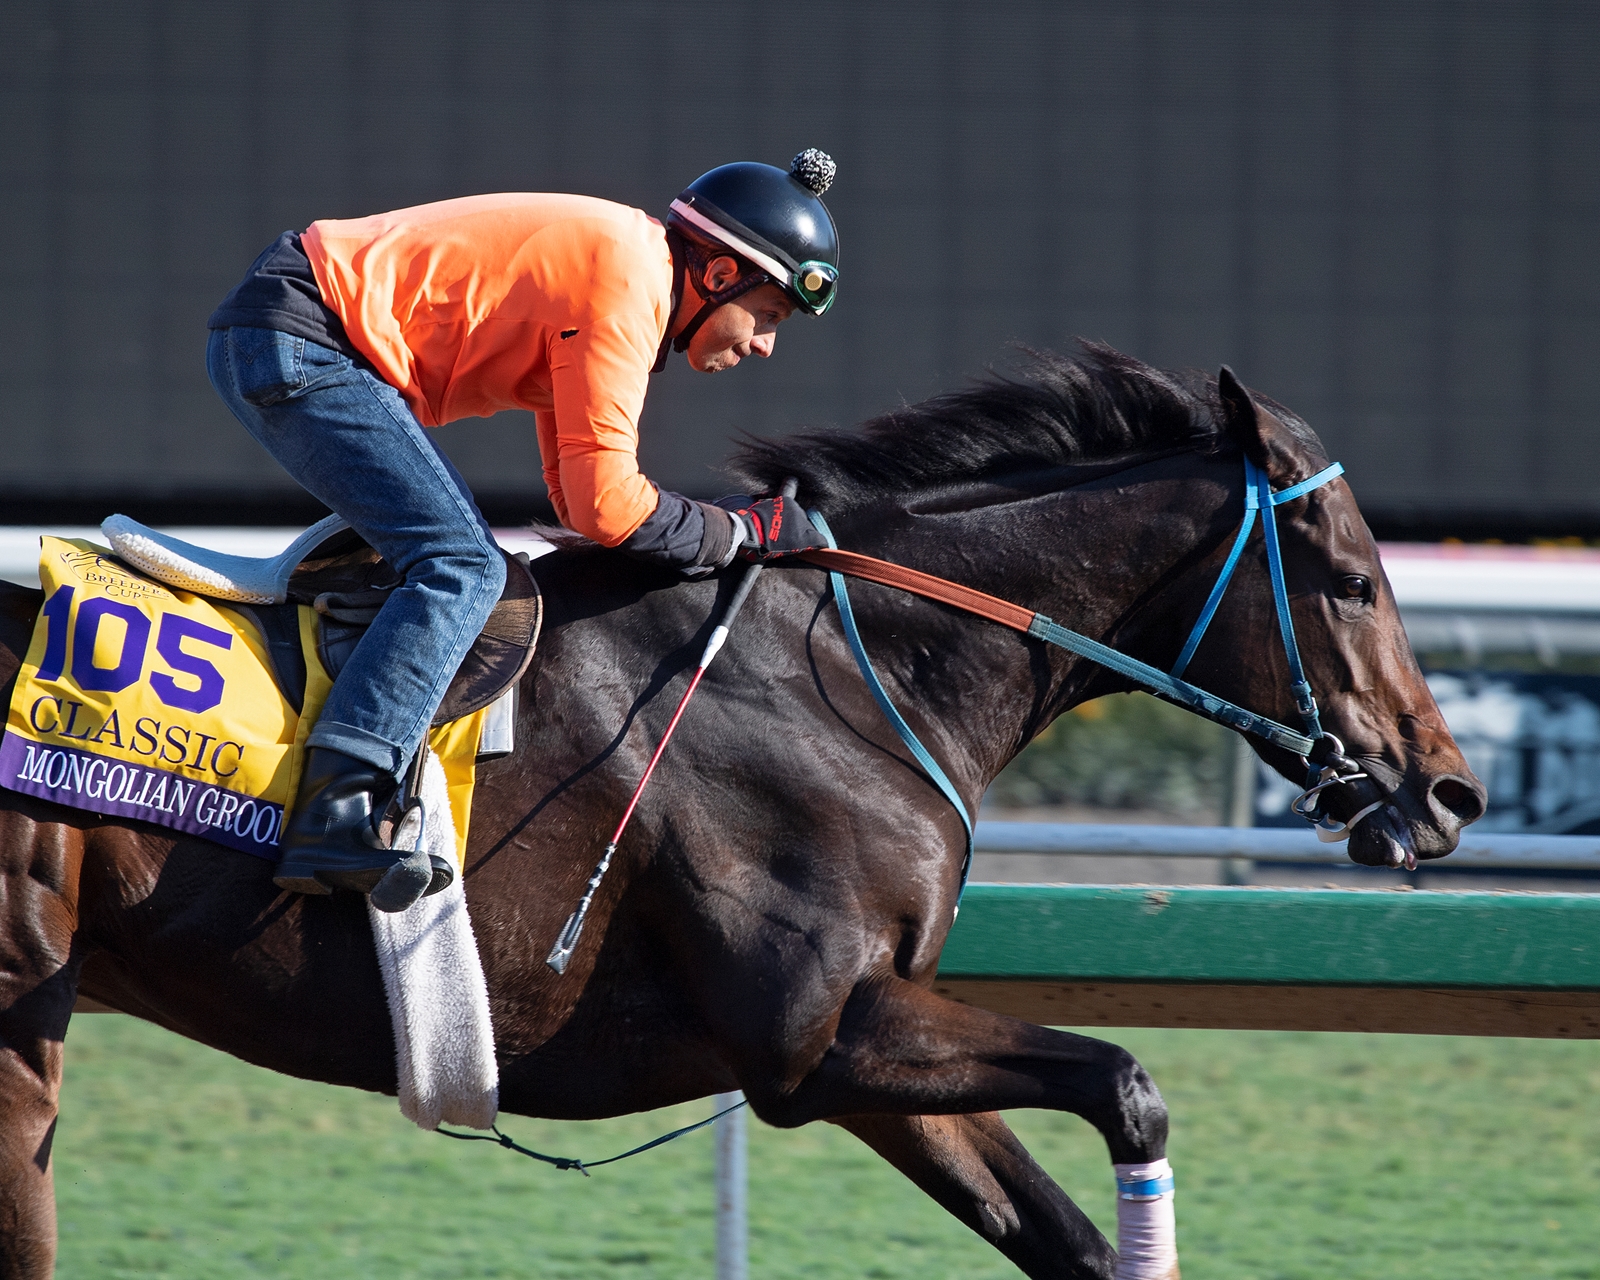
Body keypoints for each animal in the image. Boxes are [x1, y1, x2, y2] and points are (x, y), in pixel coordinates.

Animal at [0, 345, 1484, 1273]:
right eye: (1356, 579)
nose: (1447, 789)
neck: (853, 668)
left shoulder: (869, 1042)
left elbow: (1064, 1226)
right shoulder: (812, 1036)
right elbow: (1129, 1083)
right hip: (26, 997)